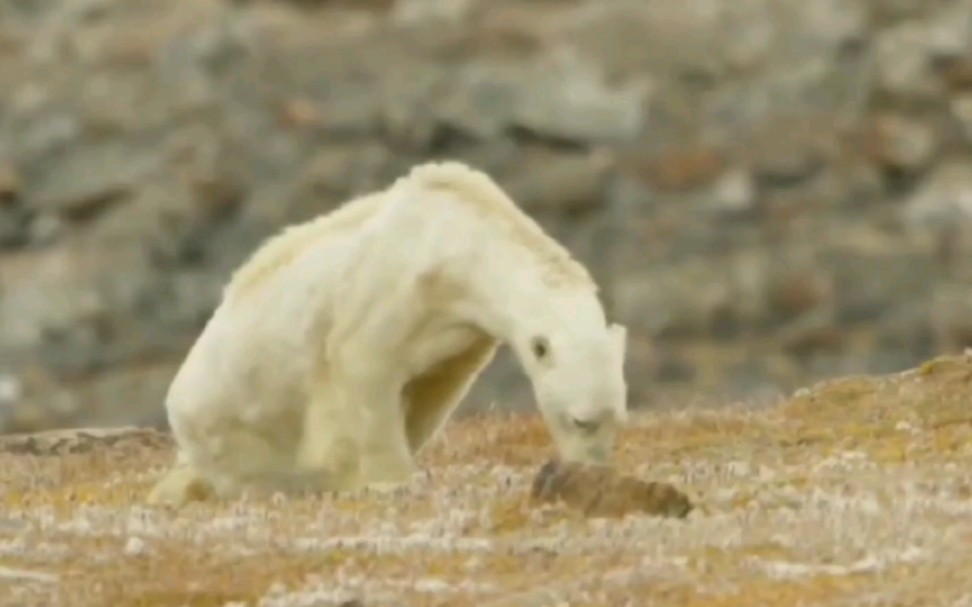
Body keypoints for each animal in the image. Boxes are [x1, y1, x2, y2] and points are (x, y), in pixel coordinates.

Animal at [146, 160, 632, 508]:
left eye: (616, 418)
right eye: (580, 420)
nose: (591, 475)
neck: (459, 240)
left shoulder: (461, 336)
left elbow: (429, 390)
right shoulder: (391, 290)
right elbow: (364, 369)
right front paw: (387, 480)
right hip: (231, 424)